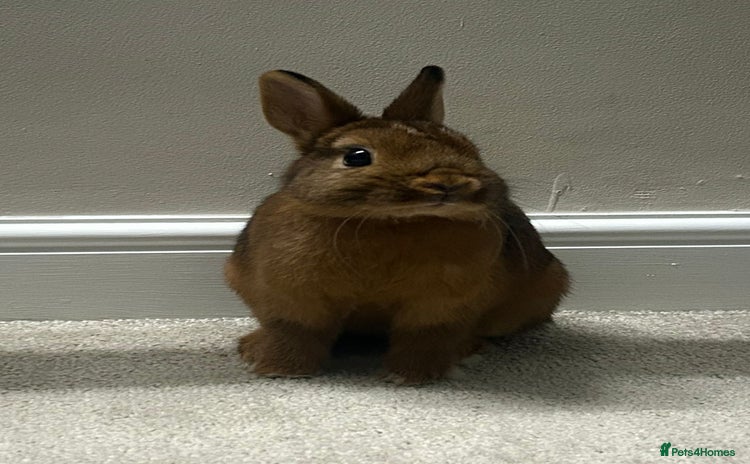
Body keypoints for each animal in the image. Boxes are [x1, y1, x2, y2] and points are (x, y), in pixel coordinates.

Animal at [225, 66, 569, 385]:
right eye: (356, 156)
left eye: (468, 147)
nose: (448, 181)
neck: (389, 221)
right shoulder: (294, 302)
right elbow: (295, 334)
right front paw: (279, 371)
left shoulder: (436, 309)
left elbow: (424, 339)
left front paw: (409, 377)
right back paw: (250, 347)